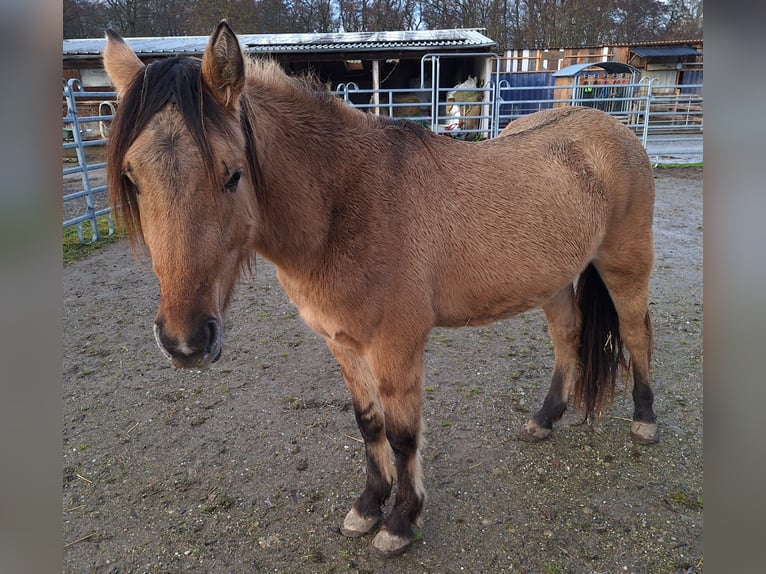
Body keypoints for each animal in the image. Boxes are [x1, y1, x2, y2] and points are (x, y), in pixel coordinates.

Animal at [103, 21, 657, 557]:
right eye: (132, 177)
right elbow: (369, 424)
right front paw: (368, 506)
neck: (347, 203)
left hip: (624, 265)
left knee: (635, 334)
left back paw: (645, 419)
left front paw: (400, 522)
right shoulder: (343, 343)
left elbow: (403, 434)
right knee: (568, 337)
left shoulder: (396, 345)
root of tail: (610, 128)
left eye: (233, 174)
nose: (185, 342)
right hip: (554, 280)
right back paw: (544, 419)